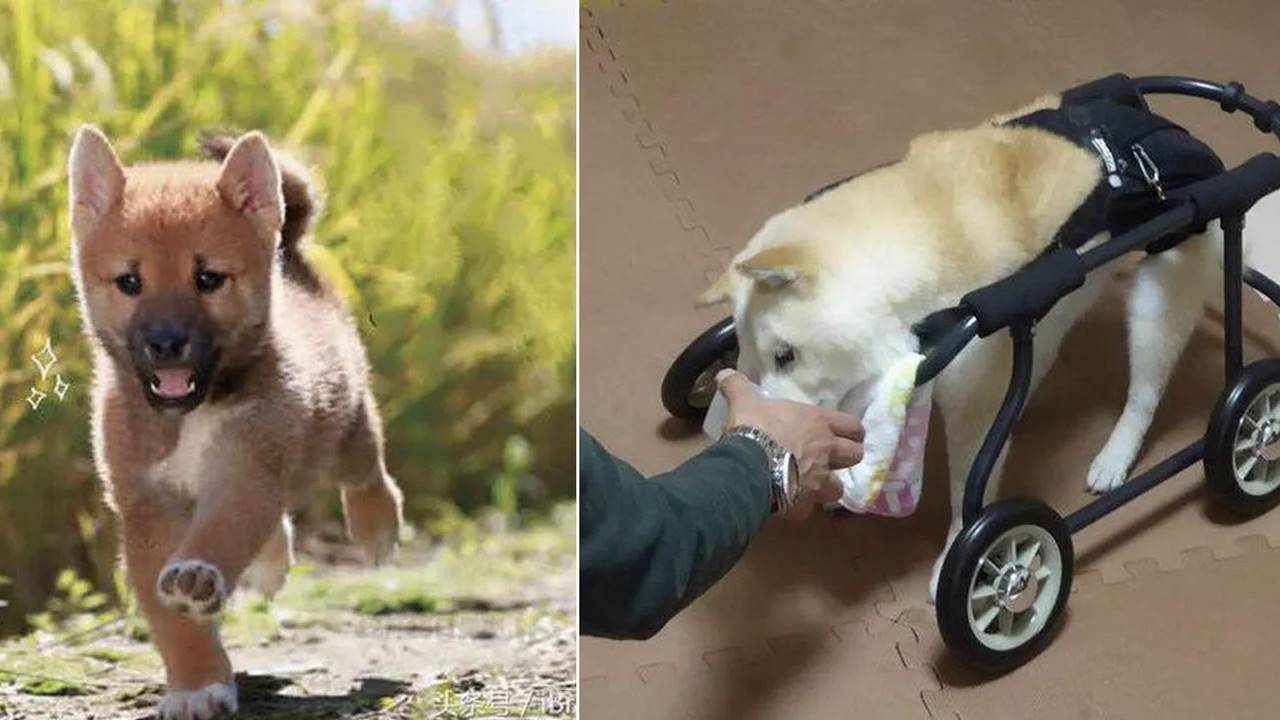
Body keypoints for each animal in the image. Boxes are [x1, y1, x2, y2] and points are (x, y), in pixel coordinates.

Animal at [66, 126, 404, 712]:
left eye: (208, 278)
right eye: (129, 281)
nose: (165, 343)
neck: (190, 417)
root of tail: (291, 257)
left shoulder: (246, 470)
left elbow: (223, 533)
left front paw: (199, 576)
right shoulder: (146, 504)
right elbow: (175, 620)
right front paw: (196, 684)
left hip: (342, 427)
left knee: (367, 467)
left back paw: (377, 527)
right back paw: (272, 564)